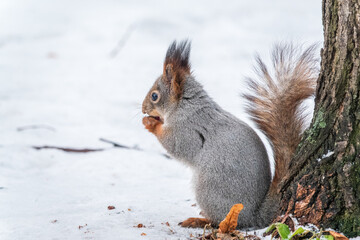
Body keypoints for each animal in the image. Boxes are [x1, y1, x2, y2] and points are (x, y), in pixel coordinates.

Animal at [142, 40, 316, 228]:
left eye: (154, 96)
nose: (143, 109)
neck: (186, 106)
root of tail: (253, 216)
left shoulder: (188, 130)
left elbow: (175, 145)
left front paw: (151, 124)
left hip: (209, 191)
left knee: (219, 221)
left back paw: (199, 220)